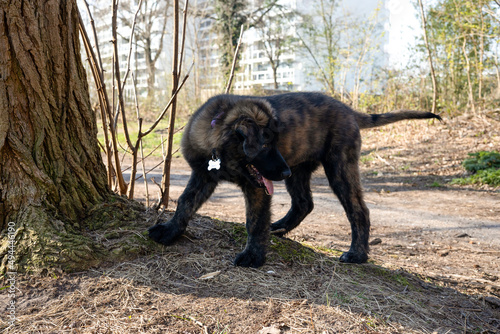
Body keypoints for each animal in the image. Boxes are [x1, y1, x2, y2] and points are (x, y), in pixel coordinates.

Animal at [148, 92, 442, 268]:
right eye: (266, 144)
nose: (284, 171)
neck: (221, 152)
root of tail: (349, 110)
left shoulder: (256, 187)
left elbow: (255, 221)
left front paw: (253, 255)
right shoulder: (203, 176)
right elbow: (185, 202)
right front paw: (170, 231)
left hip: (338, 166)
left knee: (359, 210)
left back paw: (357, 254)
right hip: (301, 170)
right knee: (304, 203)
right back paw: (279, 227)